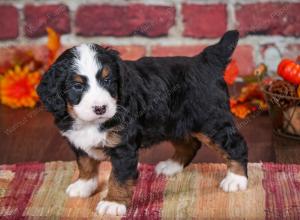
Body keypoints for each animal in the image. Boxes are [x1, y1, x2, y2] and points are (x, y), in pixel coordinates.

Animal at [37, 30, 248, 216]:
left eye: (108, 80)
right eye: (77, 86)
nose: (100, 108)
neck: (91, 123)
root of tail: (205, 61)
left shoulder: (123, 148)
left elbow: (118, 178)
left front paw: (113, 203)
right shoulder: (78, 141)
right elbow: (85, 163)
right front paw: (84, 185)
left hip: (211, 121)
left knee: (236, 144)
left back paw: (236, 179)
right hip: (172, 122)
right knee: (189, 144)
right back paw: (171, 166)